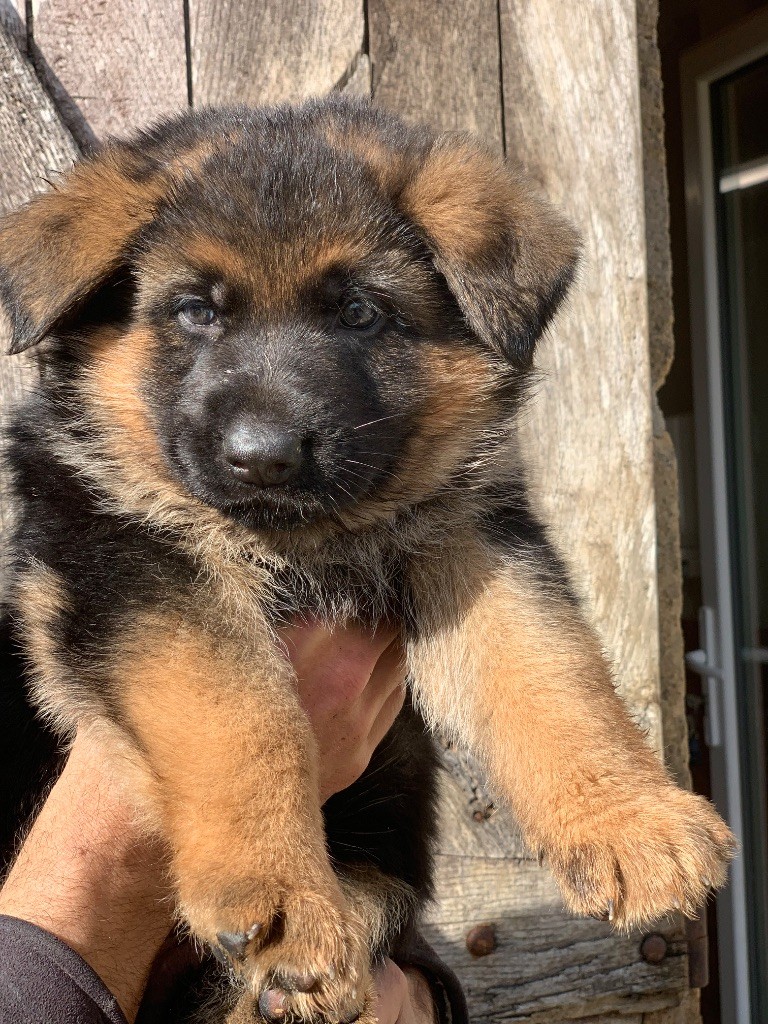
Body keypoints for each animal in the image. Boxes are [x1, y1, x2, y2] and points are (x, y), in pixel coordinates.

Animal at [0, 96, 735, 1023]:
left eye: (359, 312)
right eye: (196, 311)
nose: (264, 457)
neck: (309, 539)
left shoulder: (470, 540)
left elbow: (548, 668)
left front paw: (630, 820)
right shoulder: (131, 563)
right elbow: (241, 712)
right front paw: (280, 896)